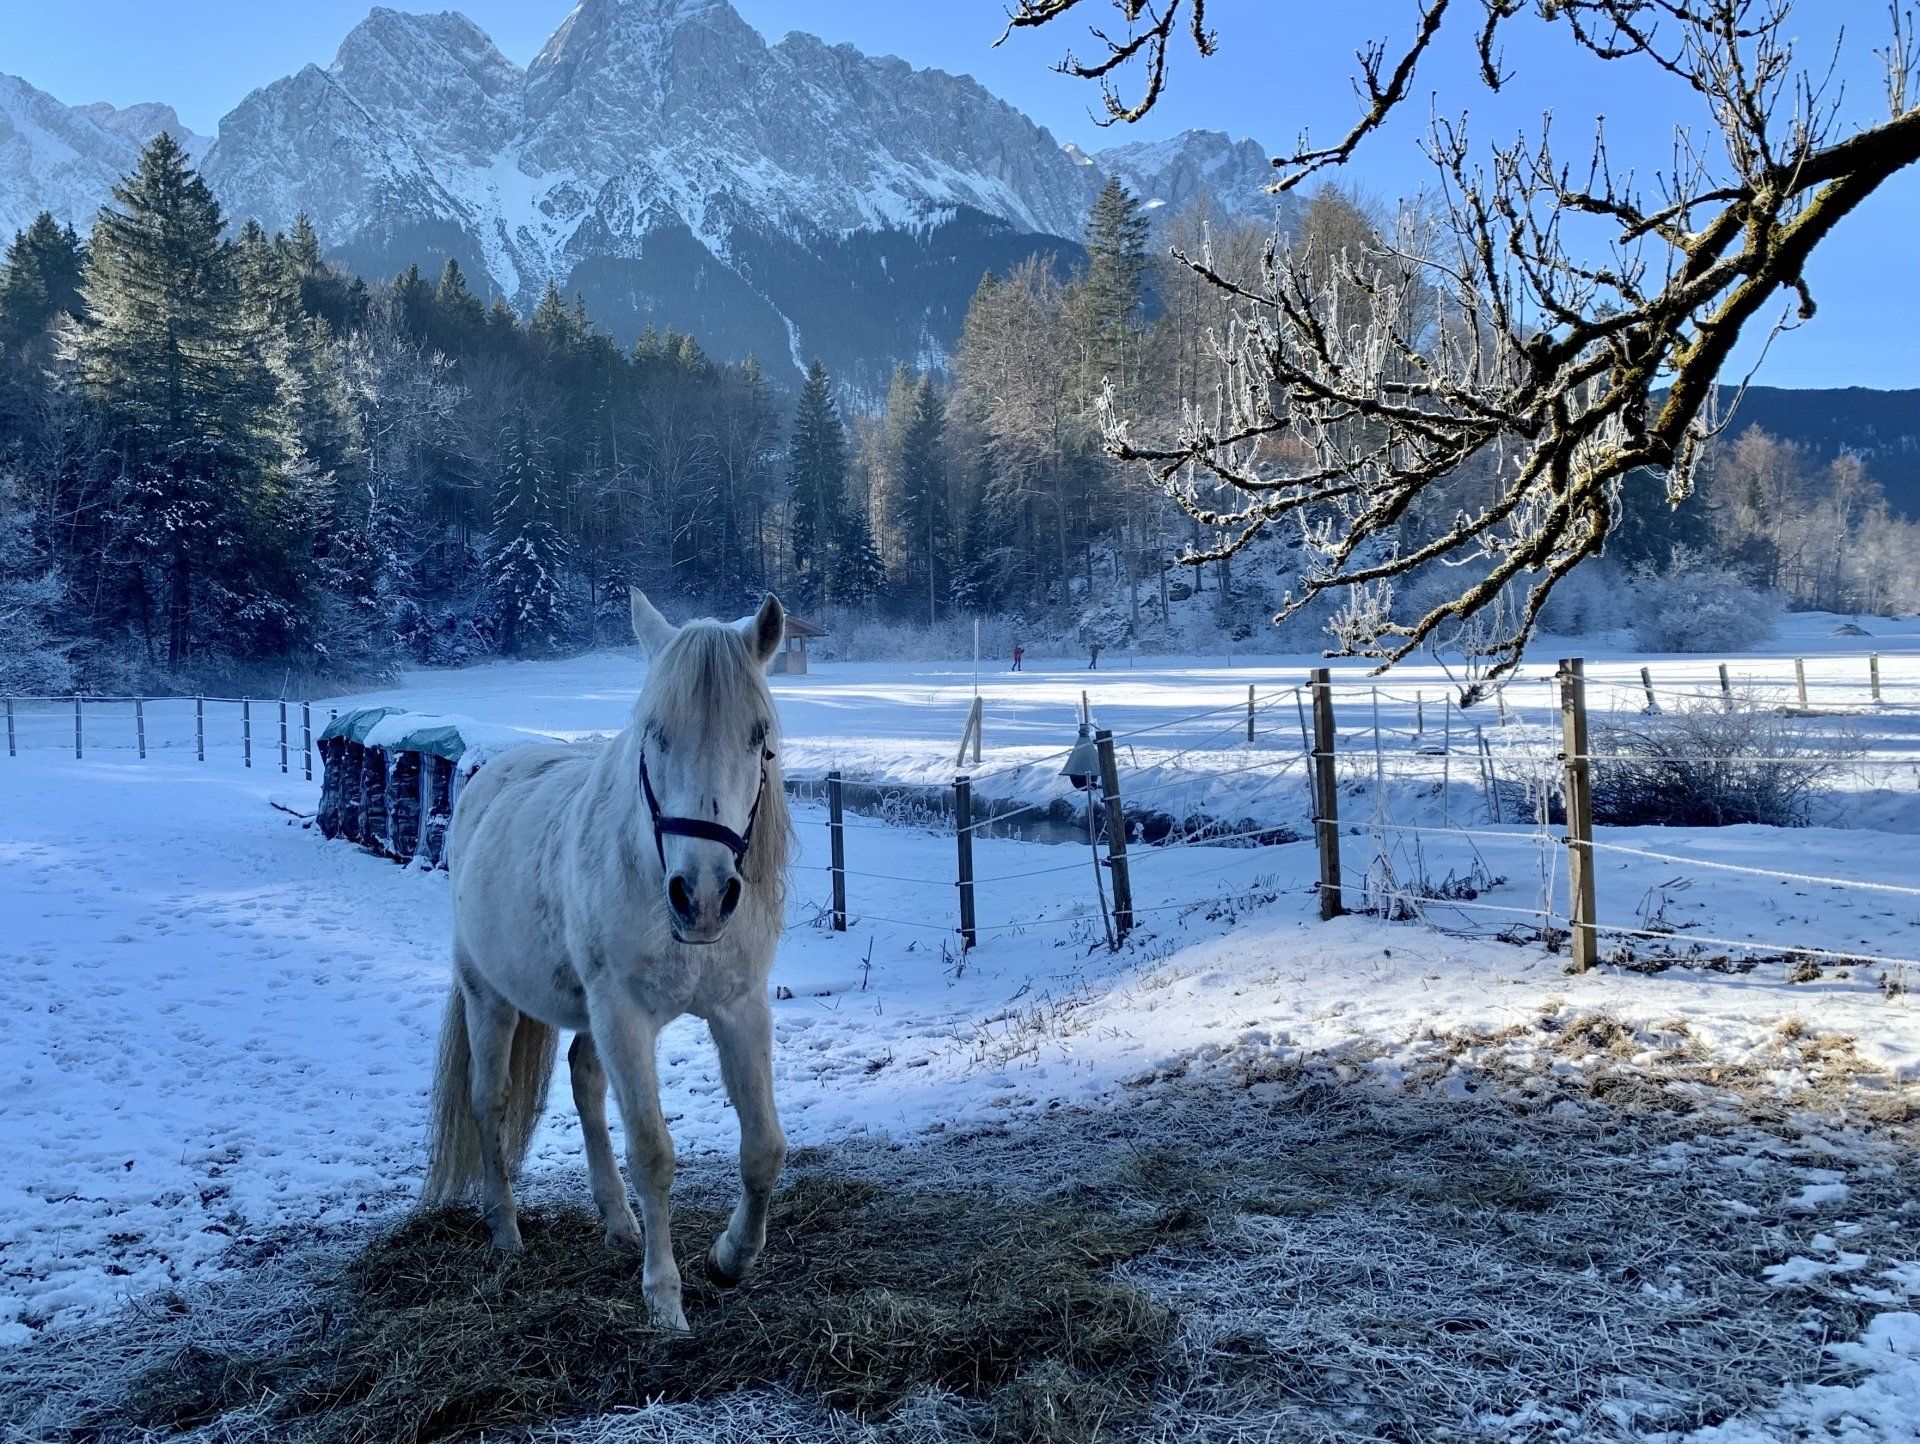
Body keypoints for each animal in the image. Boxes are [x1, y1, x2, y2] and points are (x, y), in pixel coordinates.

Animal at [423, 589, 791, 1332]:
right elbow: (652, 1151)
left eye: (758, 734)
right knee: (489, 1100)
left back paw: (619, 1222)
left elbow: (764, 1147)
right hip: (488, 998)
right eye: (654, 733)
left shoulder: (739, 1008)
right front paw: (665, 1301)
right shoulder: (623, 1015)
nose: (702, 897)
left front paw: (729, 1258)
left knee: (585, 1081)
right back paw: (506, 1231)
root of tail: (490, 777)